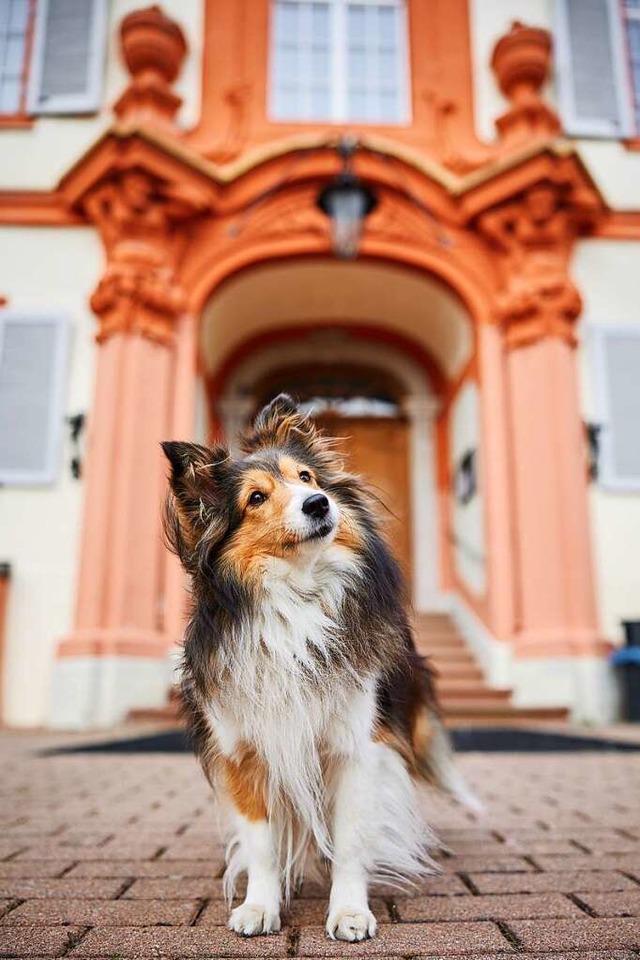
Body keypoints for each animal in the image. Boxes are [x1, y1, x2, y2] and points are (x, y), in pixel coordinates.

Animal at [162, 394, 478, 940]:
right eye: (256, 498)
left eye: (307, 477)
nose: (318, 504)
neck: (297, 597)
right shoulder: (245, 749)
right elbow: (262, 843)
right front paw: (259, 906)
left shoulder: (357, 745)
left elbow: (352, 838)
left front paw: (349, 911)